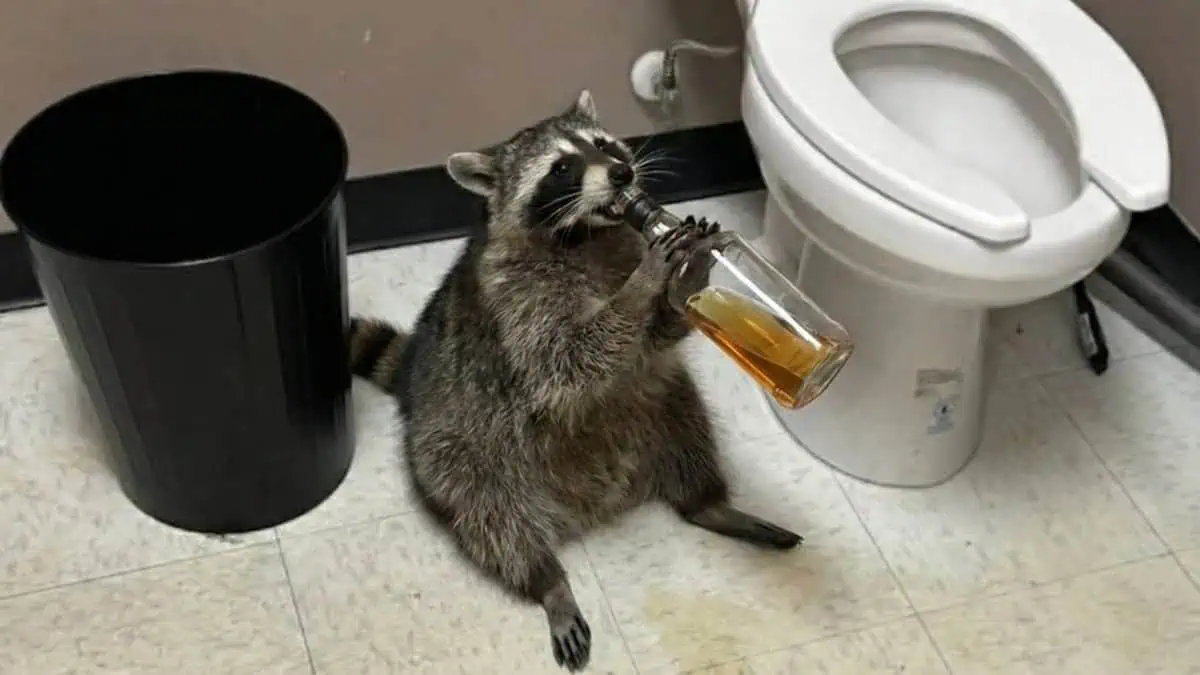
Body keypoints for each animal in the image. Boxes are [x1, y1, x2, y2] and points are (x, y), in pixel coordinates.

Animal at [349, 90, 802, 672]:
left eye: (604, 144)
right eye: (562, 168)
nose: (623, 172)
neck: (587, 236)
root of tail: (598, 504)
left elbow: (653, 342)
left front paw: (690, 272)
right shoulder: (517, 302)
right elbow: (565, 363)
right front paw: (643, 285)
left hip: (659, 406)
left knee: (687, 422)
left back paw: (710, 503)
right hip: (459, 449)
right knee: (492, 516)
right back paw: (547, 580)